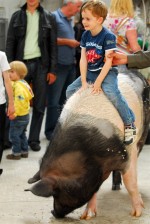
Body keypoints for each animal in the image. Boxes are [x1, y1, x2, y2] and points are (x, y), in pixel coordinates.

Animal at [26, 71, 149, 220]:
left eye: (57, 191)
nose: (53, 213)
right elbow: (94, 190)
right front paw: (86, 216)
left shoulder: (127, 152)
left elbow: (130, 182)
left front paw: (137, 214)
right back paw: (115, 187)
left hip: (142, 133)